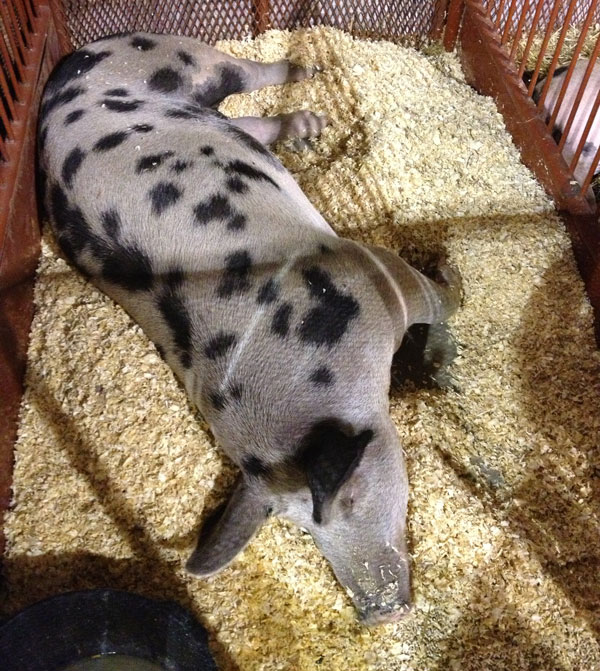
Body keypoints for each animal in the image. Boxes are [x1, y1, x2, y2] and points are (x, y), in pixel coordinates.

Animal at [38, 32, 461, 625]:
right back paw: (309, 122)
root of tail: (67, 68)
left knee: (248, 75)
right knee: (247, 122)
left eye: (351, 498)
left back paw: (310, 75)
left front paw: (453, 284)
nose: (382, 614)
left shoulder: (369, 267)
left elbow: (437, 298)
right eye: (304, 528)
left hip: (176, 58)